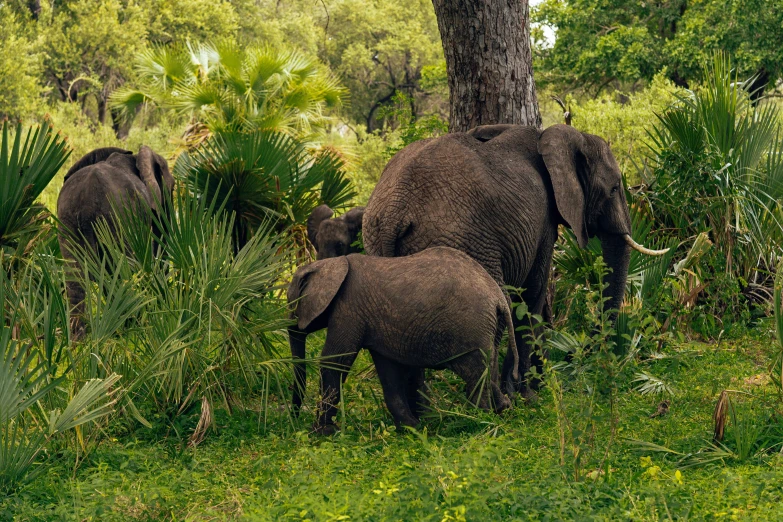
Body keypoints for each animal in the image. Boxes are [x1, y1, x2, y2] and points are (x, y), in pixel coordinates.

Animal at [288, 246, 520, 432]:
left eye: (292, 306)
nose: (294, 418)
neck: (330, 263)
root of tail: (498, 297)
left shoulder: (348, 309)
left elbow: (333, 362)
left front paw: (321, 433)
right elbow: (388, 371)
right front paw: (412, 428)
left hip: (470, 327)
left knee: (476, 372)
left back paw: (477, 419)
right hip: (487, 327)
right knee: (488, 366)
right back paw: (501, 409)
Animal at [362, 123, 668, 394]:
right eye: (615, 188)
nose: (572, 356)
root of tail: (394, 212)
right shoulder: (543, 220)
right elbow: (532, 292)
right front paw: (528, 392)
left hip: (376, 240)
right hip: (460, 241)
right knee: (498, 306)